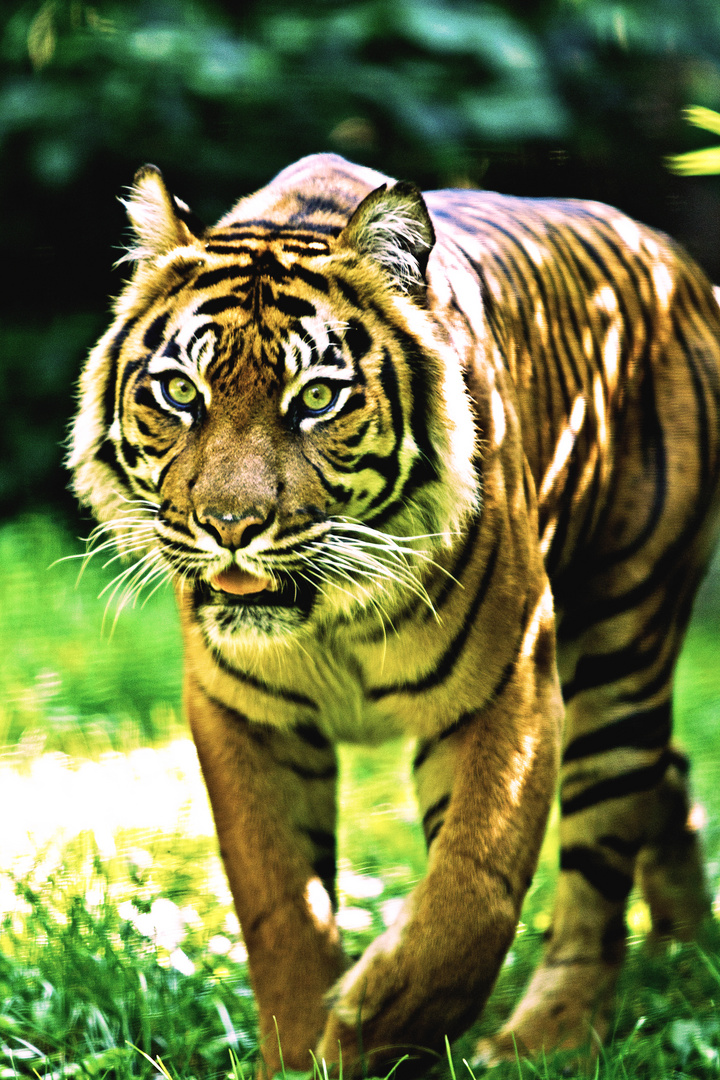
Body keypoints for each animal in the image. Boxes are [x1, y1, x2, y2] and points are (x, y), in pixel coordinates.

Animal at [69, 154, 720, 1080]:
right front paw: (303, 1054)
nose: (230, 526)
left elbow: (473, 890)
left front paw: (379, 1019)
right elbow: (283, 906)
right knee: (666, 781)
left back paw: (546, 1039)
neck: (327, 617)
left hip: (625, 638)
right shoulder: (245, 714)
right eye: (179, 391)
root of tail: (670, 256)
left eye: (316, 397)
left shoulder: (509, 690)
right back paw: (686, 951)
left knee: (599, 865)